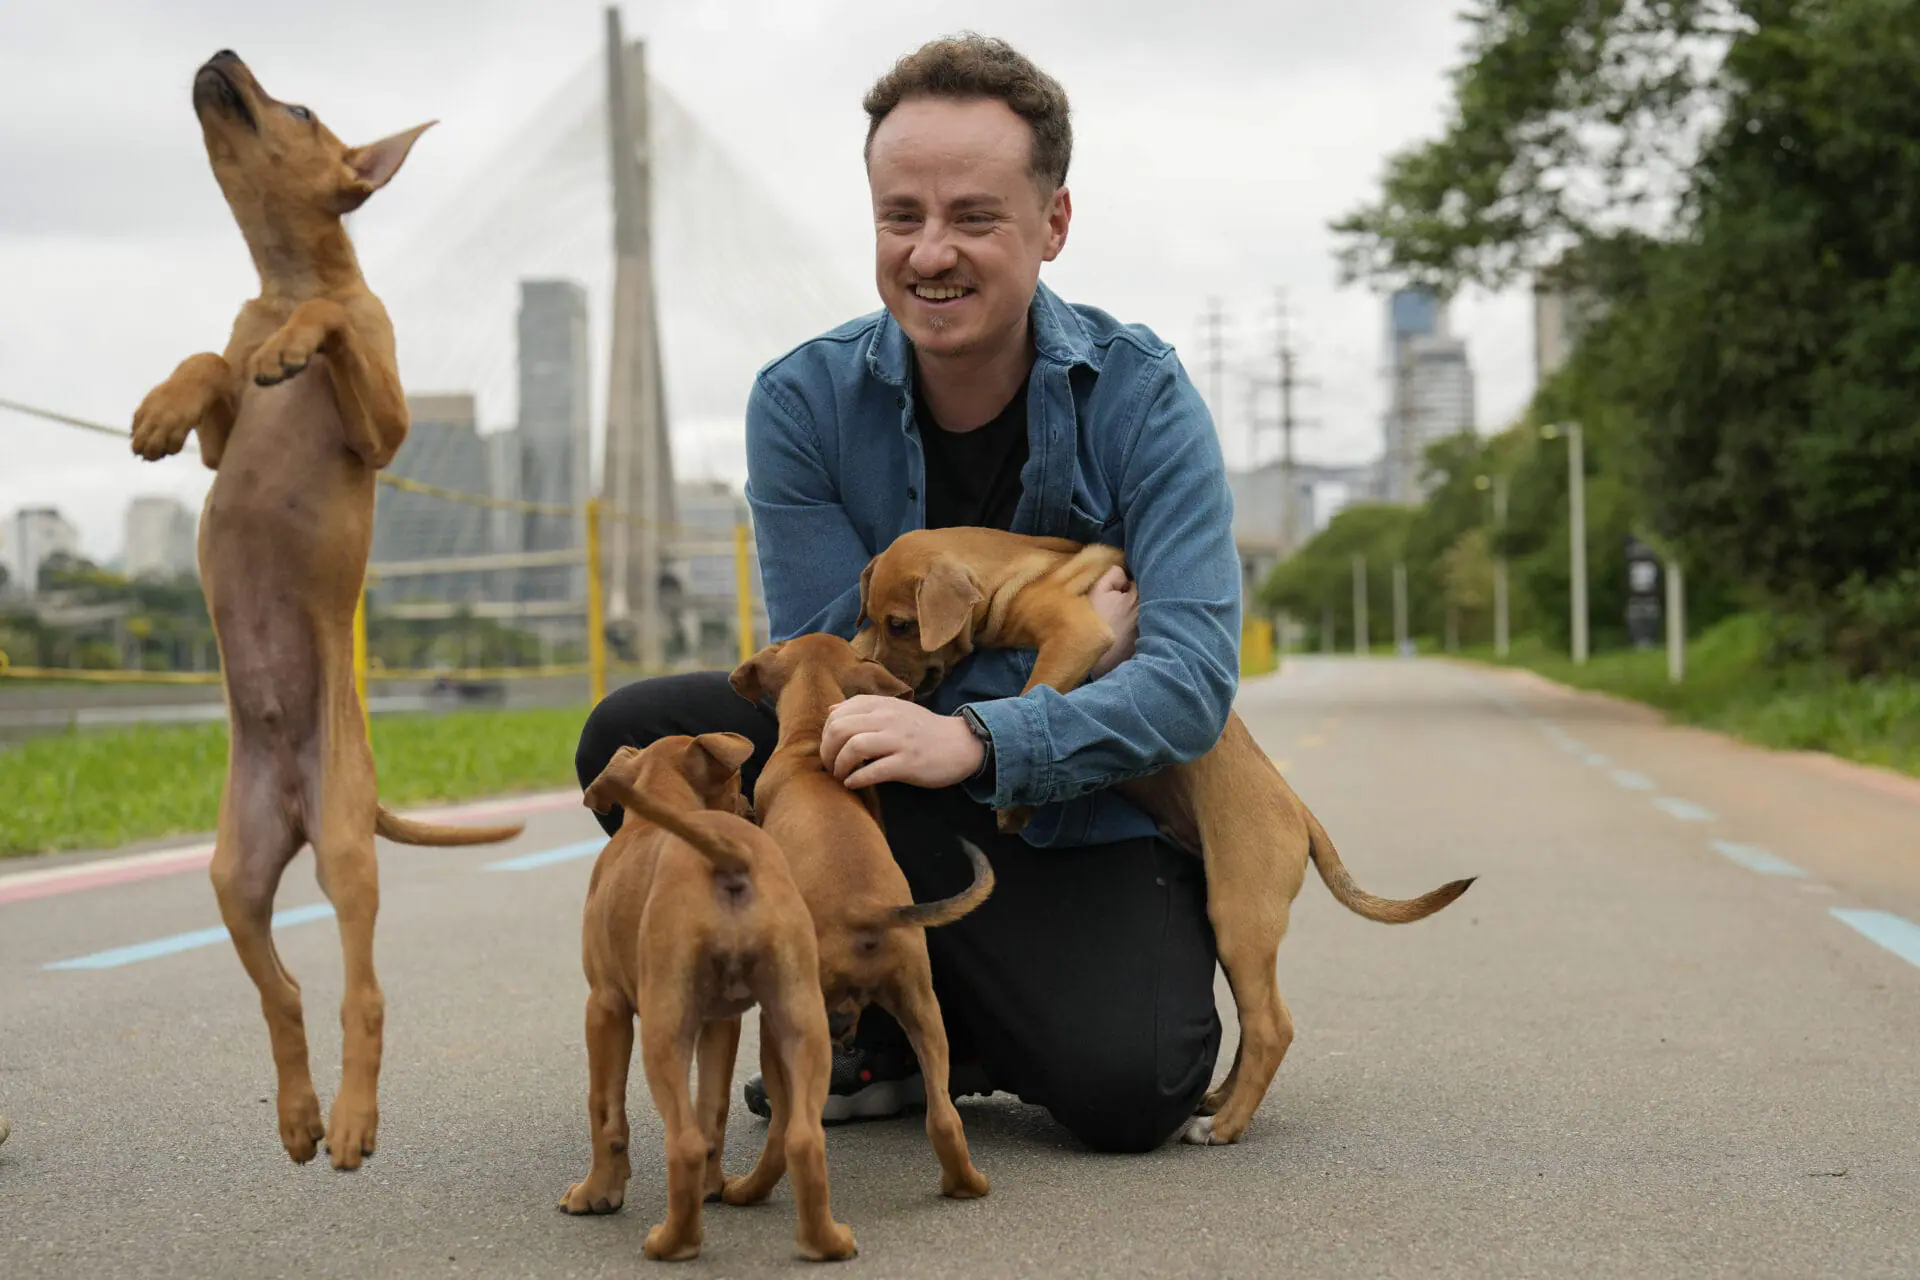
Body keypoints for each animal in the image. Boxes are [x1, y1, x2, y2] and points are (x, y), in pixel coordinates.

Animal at [568, 736, 856, 1266]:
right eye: (737, 780)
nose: (750, 809)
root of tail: (730, 857)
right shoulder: (722, 1022)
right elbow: (713, 1108)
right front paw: (713, 1187)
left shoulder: (605, 1007)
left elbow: (605, 1107)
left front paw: (597, 1193)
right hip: (801, 1019)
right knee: (803, 1137)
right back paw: (826, 1243)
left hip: (663, 1032)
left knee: (681, 1143)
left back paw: (672, 1243)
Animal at [721, 637, 990, 1205]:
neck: (810, 744)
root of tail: (866, 913)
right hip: (923, 1007)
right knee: (943, 1119)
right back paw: (966, 1183)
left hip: (786, 1019)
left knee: (789, 1132)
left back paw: (747, 1190)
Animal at [848, 525, 1474, 1143]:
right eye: (870, 618)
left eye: (901, 623)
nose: (878, 678)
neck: (1010, 571)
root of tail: (1299, 811)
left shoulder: (1075, 635)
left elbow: (1033, 692)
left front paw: (1014, 799)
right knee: (1255, 1020)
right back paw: (1219, 1100)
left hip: (1240, 915)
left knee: (1272, 1025)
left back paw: (1223, 1126)